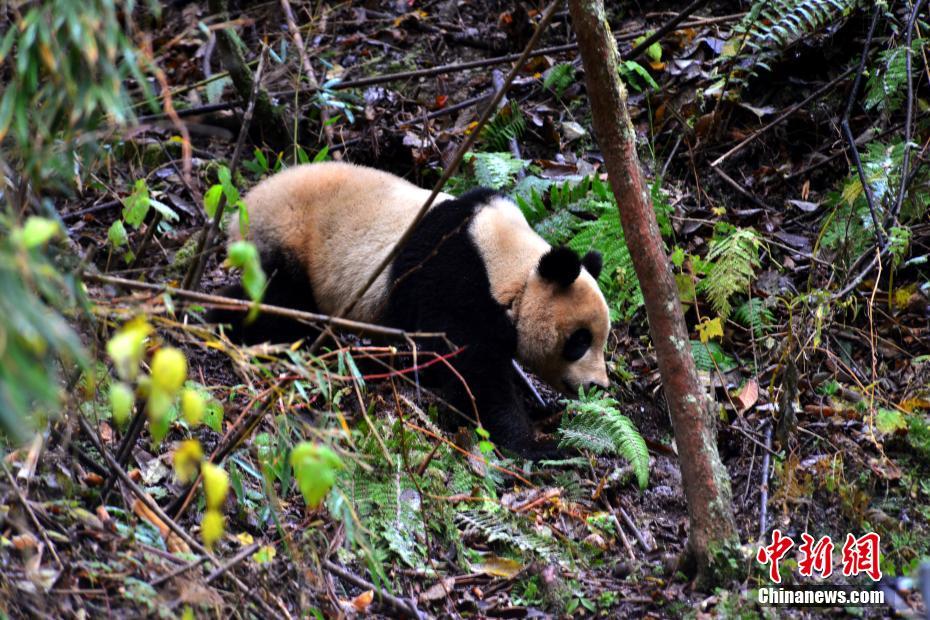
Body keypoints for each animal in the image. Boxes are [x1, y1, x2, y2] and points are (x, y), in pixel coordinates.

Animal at [216, 162, 608, 458]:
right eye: (579, 341)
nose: (598, 385)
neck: (512, 269)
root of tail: (243, 211)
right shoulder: (453, 281)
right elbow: (472, 370)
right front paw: (537, 444)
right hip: (288, 241)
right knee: (278, 304)